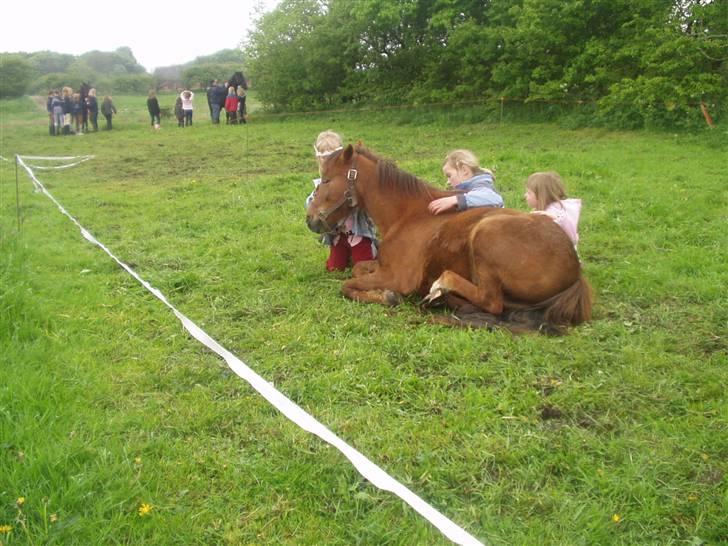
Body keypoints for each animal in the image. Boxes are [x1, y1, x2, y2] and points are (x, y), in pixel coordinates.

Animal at [306, 142, 592, 332]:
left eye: (326, 180)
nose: (310, 219)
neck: (409, 215)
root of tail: (575, 271)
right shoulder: (382, 266)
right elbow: (358, 270)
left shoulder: (398, 277)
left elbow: (347, 286)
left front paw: (387, 296)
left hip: (485, 233)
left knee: (491, 302)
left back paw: (441, 288)